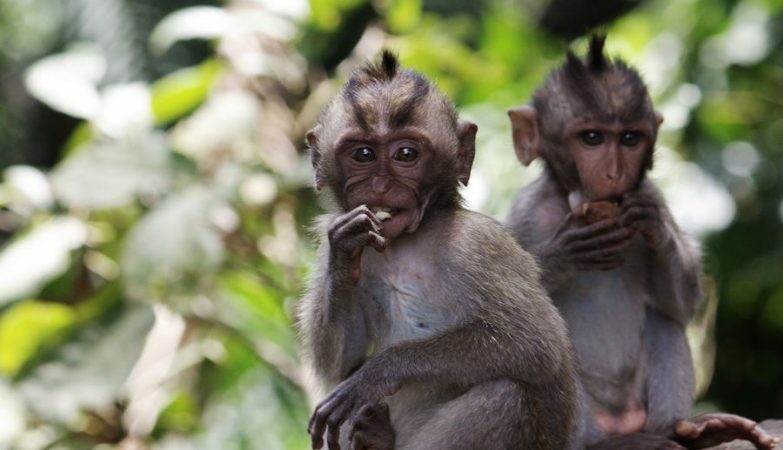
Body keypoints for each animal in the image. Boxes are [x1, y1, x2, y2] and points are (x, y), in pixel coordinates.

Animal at [297, 51, 578, 450]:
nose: (380, 186)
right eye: (363, 154)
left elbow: (536, 344)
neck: (405, 245)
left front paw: (378, 372)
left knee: (505, 396)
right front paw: (346, 251)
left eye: (406, 154)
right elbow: (337, 362)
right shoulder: (330, 238)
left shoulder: (477, 246)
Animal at [504, 35, 777, 450]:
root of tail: (619, 422)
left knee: (664, 320)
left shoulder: (651, 192)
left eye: (630, 139)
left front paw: (654, 227)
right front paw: (568, 251)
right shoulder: (528, 215)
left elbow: (682, 304)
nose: (615, 173)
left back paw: (687, 430)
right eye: (592, 138)